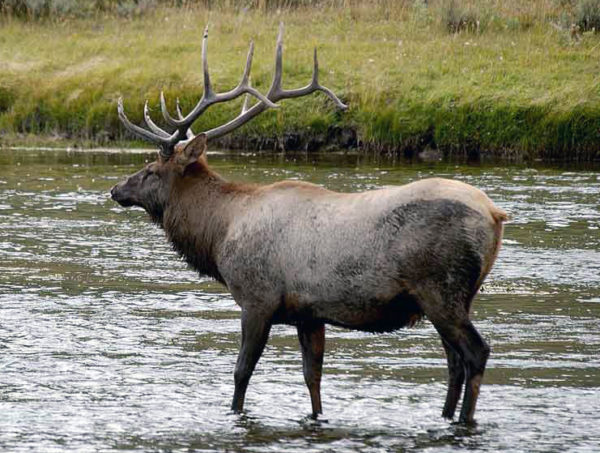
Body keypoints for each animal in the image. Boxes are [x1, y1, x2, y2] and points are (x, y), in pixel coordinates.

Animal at [111, 23, 506, 422]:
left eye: (151, 170)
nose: (116, 189)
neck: (221, 232)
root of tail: (495, 214)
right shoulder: (308, 313)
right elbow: (312, 377)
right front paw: (316, 417)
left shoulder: (257, 298)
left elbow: (242, 371)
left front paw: (235, 413)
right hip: (454, 297)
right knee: (454, 362)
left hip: (440, 288)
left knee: (475, 353)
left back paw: (464, 418)